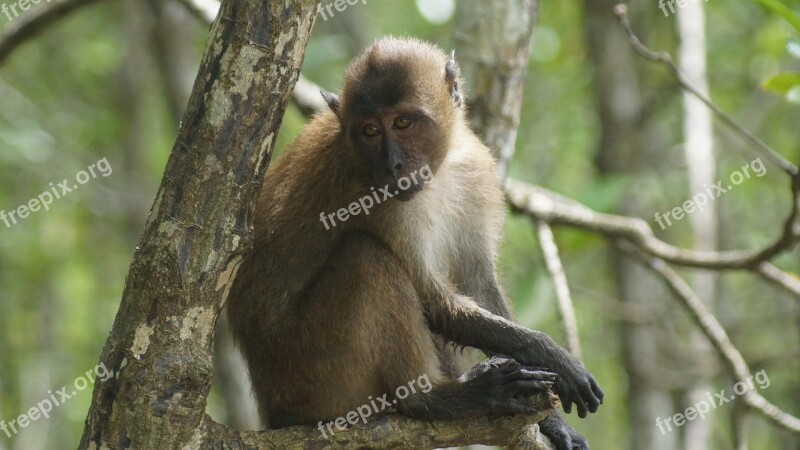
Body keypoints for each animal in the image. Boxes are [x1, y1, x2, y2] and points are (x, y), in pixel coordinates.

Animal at [225, 36, 600, 450]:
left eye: (402, 123)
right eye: (370, 130)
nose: (394, 166)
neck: (440, 172)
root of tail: (274, 412)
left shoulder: (475, 171)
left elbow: (477, 283)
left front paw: (554, 421)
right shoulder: (376, 200)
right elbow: (434, 300)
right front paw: (554, 357)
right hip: (313, 375)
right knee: (366, 257)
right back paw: (433, 400)